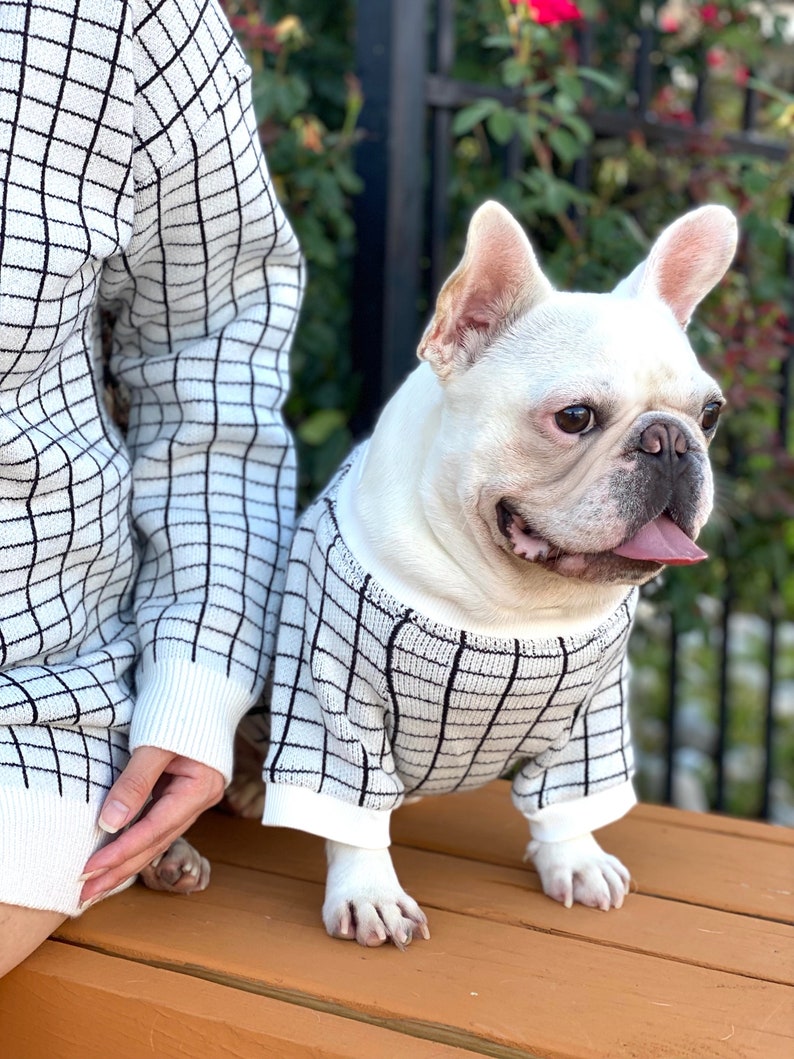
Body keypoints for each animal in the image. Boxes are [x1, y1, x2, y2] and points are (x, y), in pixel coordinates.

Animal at [261, 202, 741, 948]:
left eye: (709, 413)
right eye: (575, 417)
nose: (669, 439)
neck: (512, 606)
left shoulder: (592, 714)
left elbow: (567, 798)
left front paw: (575, 859)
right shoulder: (333, 697)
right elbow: (350, 805)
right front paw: (370, 893)